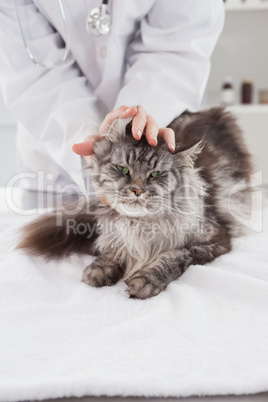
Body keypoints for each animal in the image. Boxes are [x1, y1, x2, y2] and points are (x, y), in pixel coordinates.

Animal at [18, 107, 253, 298]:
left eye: (156, 174)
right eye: (123, 169)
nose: (137, 190)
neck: (138, 225)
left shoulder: (215, 240)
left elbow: (174, 255)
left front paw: (146, 280)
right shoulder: (115, 232)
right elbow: (112, 250)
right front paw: (100, 269)